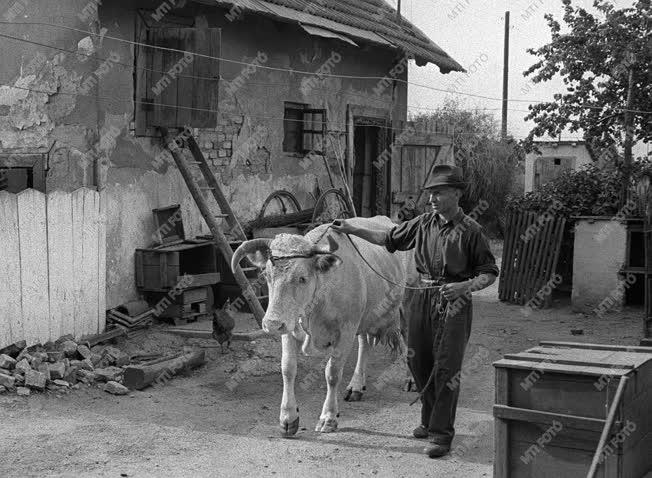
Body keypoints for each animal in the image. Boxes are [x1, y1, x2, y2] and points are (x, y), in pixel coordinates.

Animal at [230, 217, 412, 436]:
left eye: (302, 278)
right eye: (267, 275)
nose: (271, 323)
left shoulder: (346, 330)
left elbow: (332, 373)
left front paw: (328, 417)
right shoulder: (290, 325)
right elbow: (288, 368)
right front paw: (288, 418)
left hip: (408, 302)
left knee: (409, 336)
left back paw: (410, 379)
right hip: (365, 316)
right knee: (364, 344)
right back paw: (356, 385)